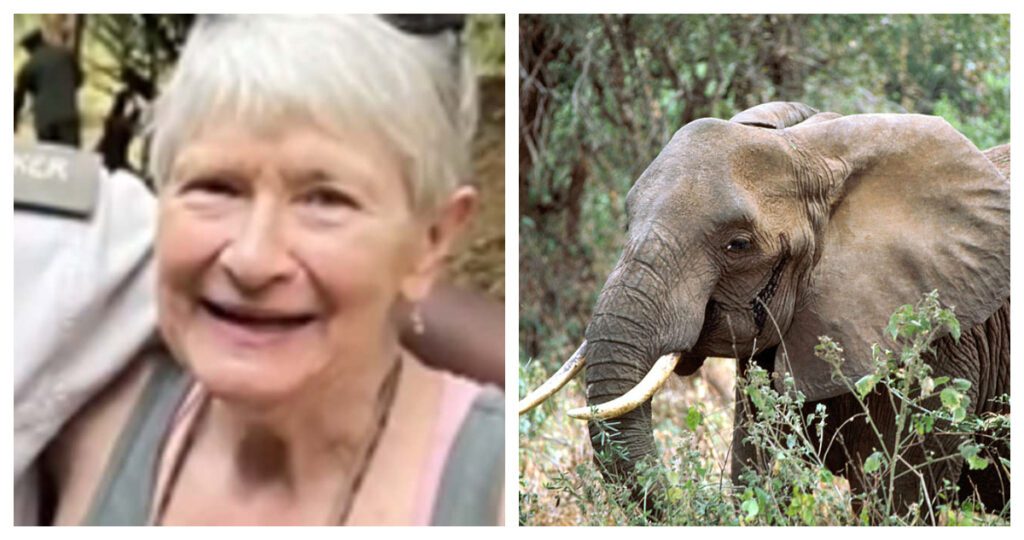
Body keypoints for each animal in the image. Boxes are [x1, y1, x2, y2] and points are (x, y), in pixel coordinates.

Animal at [519, 102, 1010, 518]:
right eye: (627, 222)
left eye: (737, 245)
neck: (820, 148)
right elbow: (757, 473)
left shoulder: (940, 347)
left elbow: (895, 499)